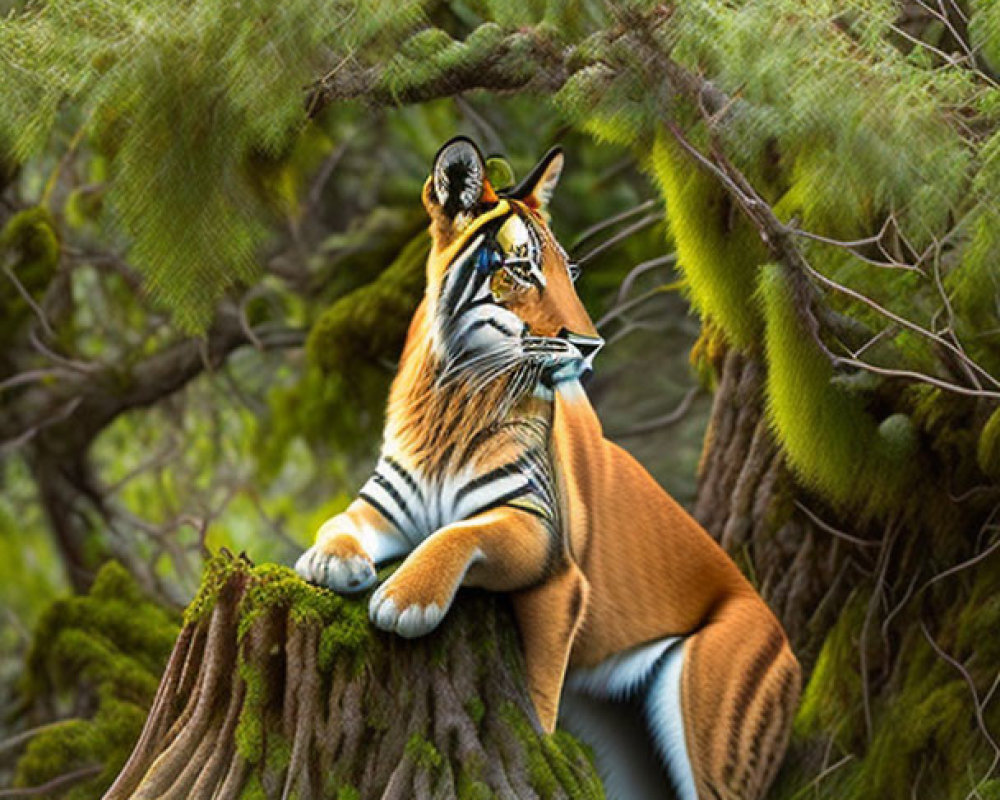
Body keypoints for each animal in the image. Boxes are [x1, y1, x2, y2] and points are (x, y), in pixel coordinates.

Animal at [292, 138, 800, 800]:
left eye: (570, 273)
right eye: (523, 269)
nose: (590, 345)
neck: (452, 396)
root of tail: (789, 644)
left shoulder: (543, 545)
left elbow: (462, 538)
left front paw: (405, 600)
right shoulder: (380, 506)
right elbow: (338, 523)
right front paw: (330, 562)